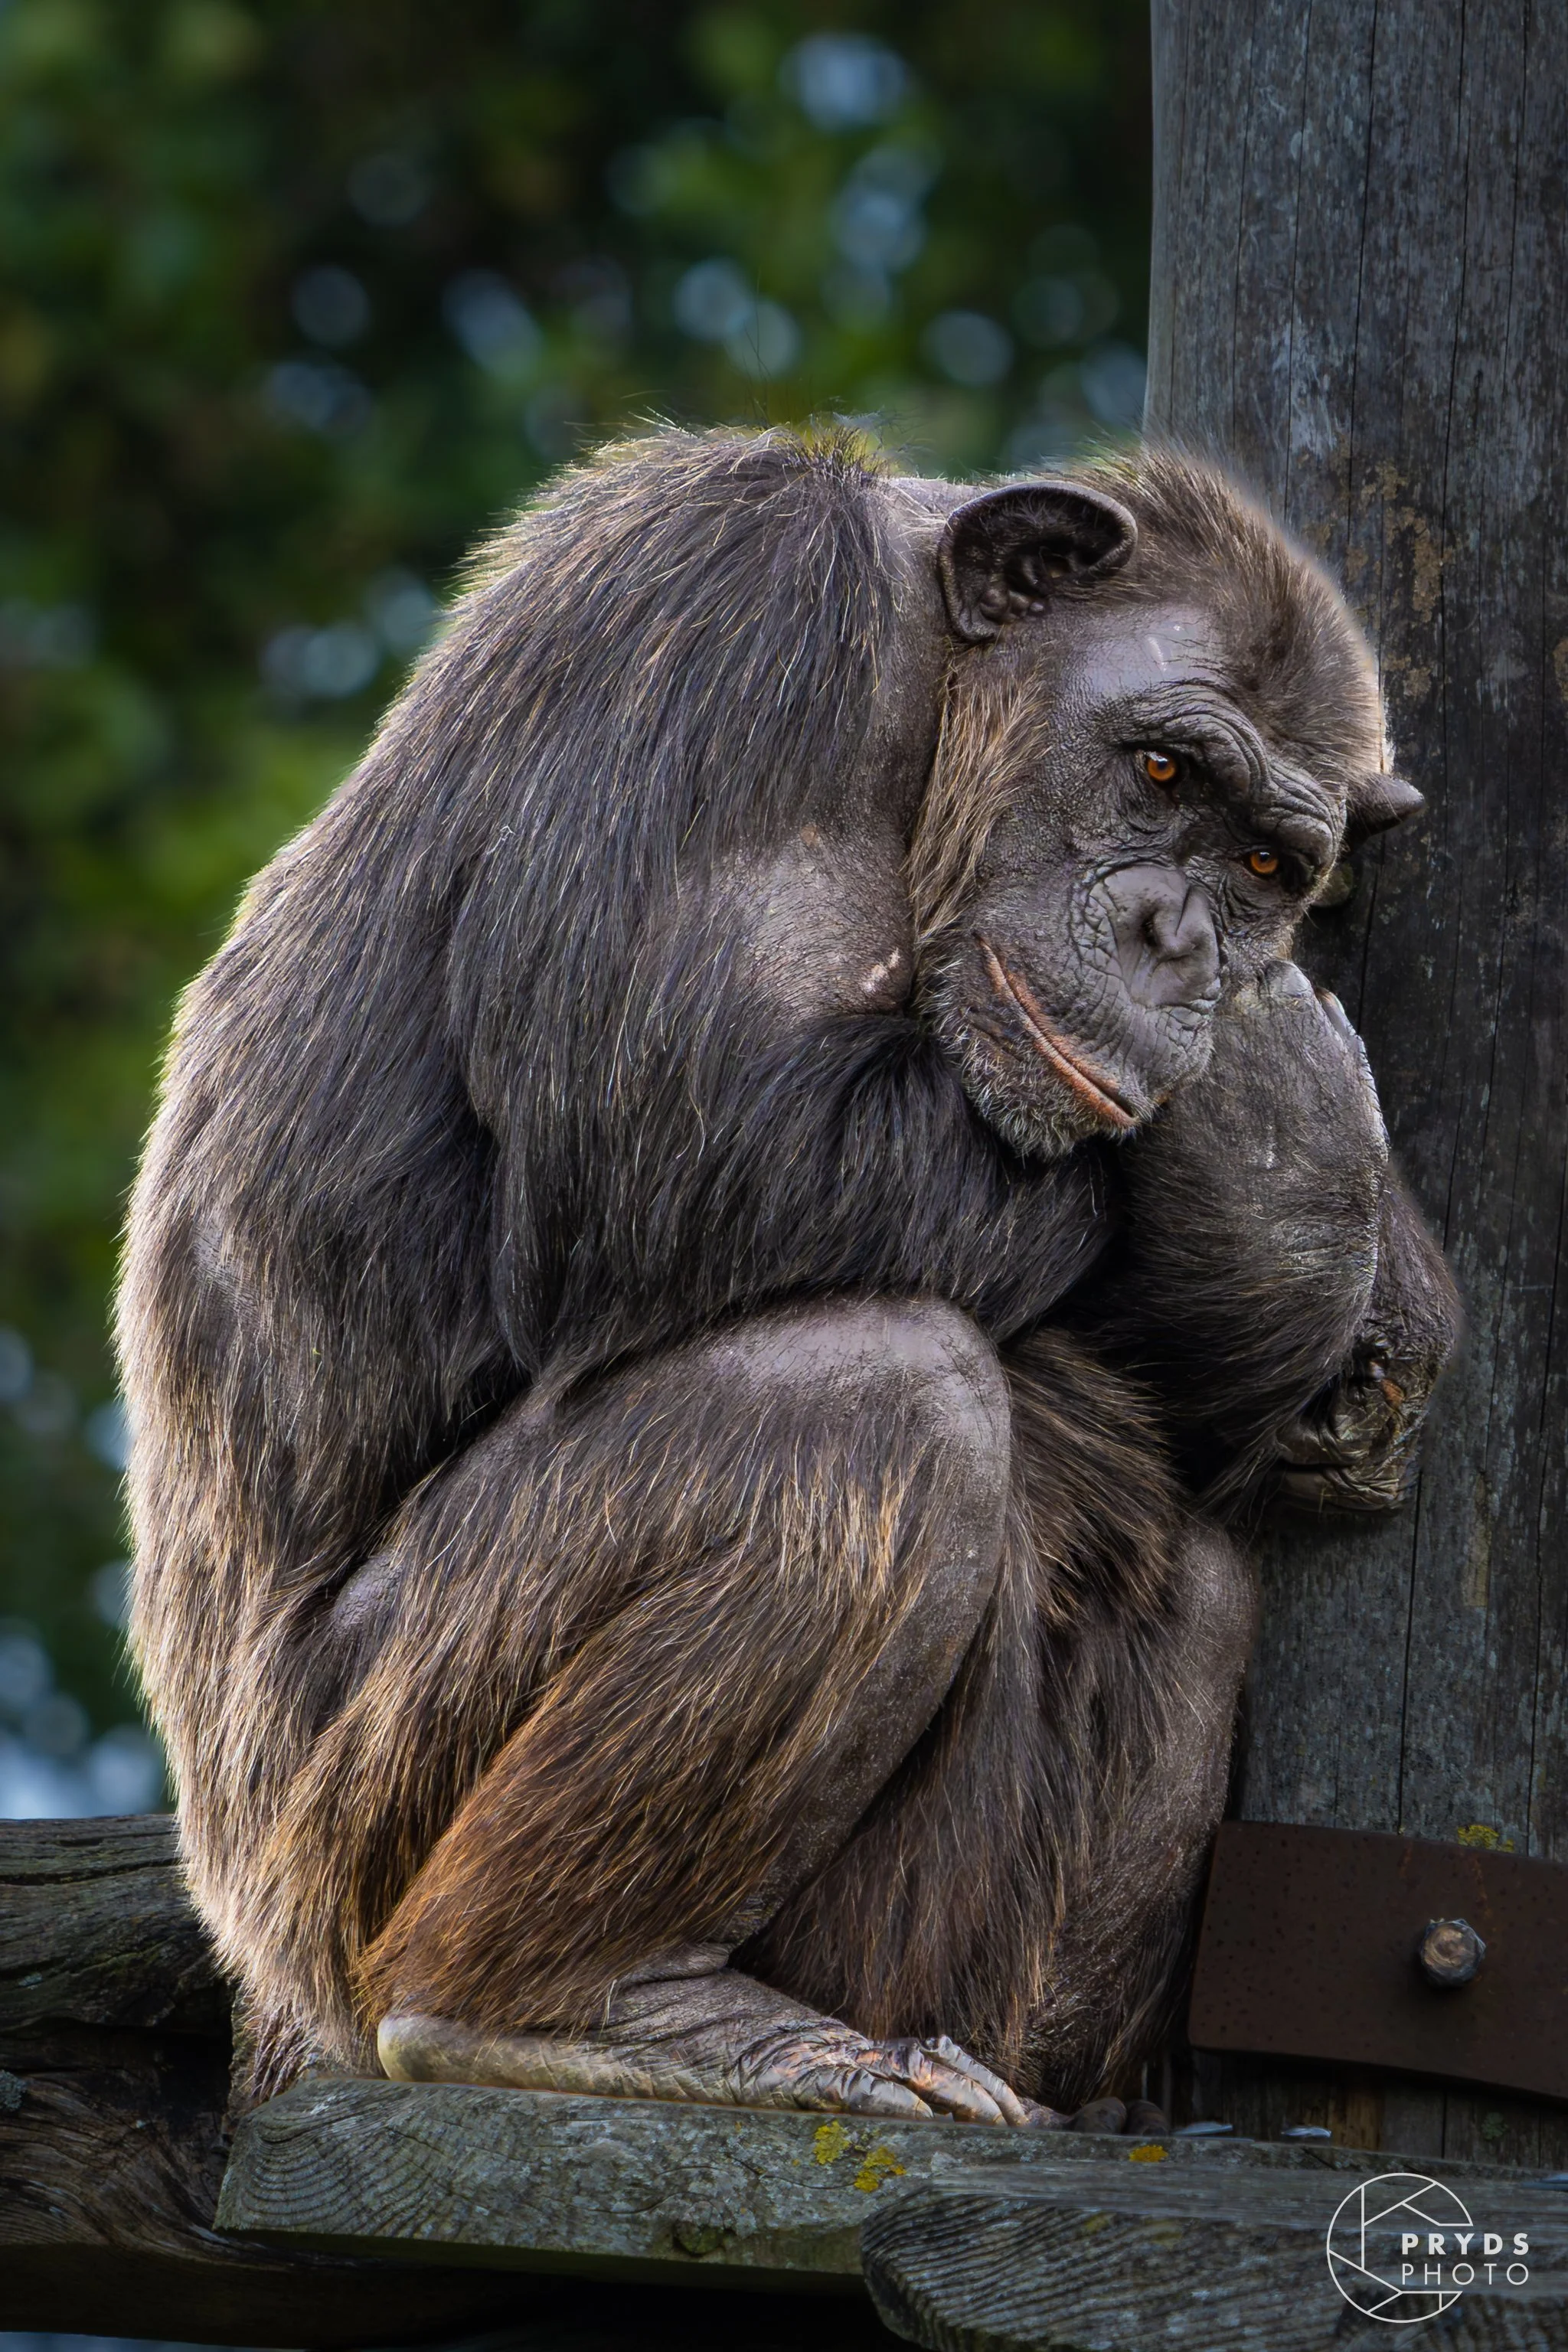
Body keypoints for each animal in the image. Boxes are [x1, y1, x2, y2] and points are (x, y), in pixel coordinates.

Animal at [119, 427, 1457, 2128]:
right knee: (873, 1399)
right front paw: (1286, 1152)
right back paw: (586, 2004)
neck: (932, 706)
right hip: (347, 1824)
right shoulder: (736, 603)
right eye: (1163, 774)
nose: (1179, 936)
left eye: (1267, 861)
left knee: (1196, 1567)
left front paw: (1312, 1229)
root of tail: (264, 1985)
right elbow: (681, 1129)